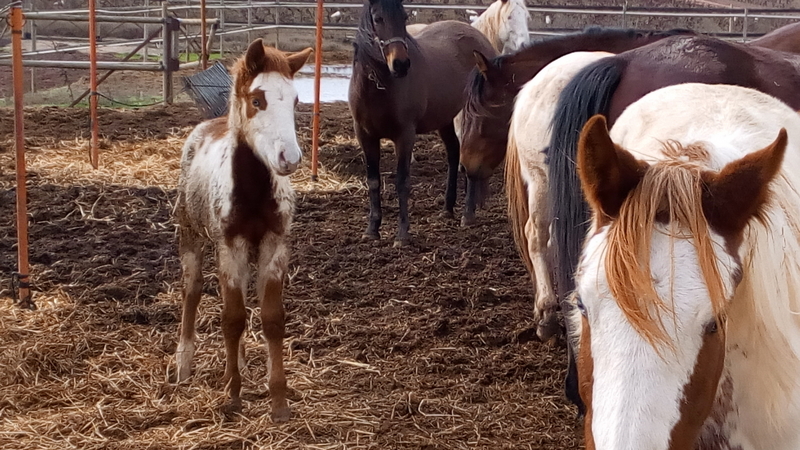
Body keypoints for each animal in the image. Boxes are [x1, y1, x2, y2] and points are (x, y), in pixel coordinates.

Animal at [174, 39, 312, 422]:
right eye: (257, 100)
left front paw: (278, 401)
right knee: (192, 291)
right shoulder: (229, 245)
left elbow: (271, 318)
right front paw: (233, 397)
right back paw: (183, 366)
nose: (290, 158)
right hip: (190, 234)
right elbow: (232, 319)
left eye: (295, 100)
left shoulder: (274, 245)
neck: (252, 192)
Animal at [349, 0, 496, 246]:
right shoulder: (365, 135)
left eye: (404, 17)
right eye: (378, 19)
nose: (401, 64)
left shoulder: (405, 135)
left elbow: (402, 181)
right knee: (454, 152)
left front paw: (402, 235)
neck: (379, 88)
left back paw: (468, 214)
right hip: (445, 118)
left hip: (471, 115)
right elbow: (373, 181)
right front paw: (372, 230)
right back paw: (447, 209)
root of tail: (481, 38)